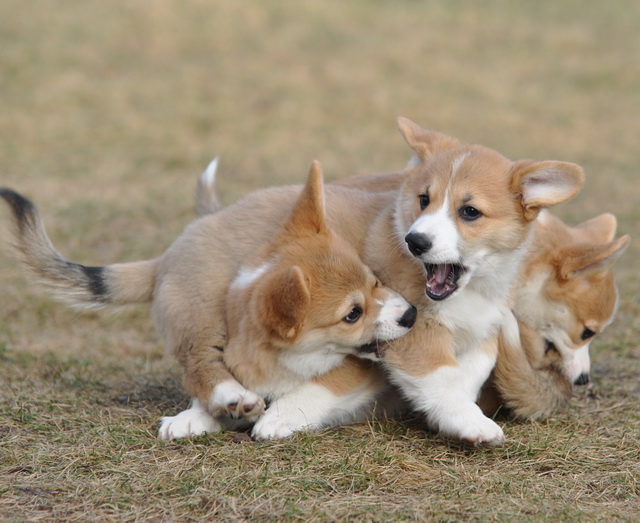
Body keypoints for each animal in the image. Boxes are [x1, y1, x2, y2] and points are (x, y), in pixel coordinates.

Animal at [0, 162, 416, 440]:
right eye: (352, 314)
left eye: (376, 280)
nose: (411, 314)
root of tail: (168, 255)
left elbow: (321, 383)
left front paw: (279, 416)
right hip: (201, 309)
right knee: (201, 366)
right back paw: (220, 403)